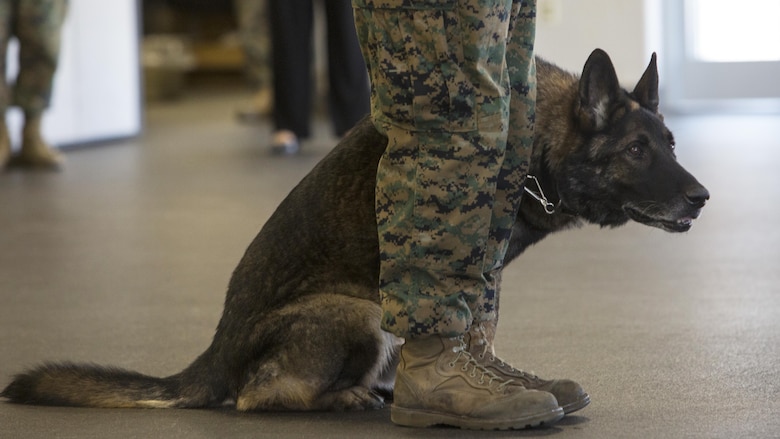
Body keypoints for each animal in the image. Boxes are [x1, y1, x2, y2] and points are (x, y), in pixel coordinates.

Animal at [1, 49, 708, 412]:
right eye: (638, 151)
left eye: (671, 144)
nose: (702, 200)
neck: (537, 140)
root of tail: (213, 357)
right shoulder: (469, 258)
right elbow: (468, 319)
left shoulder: (483, 270)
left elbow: (481, 326)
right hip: (360, 311)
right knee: (258, 397)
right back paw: (343, 399)